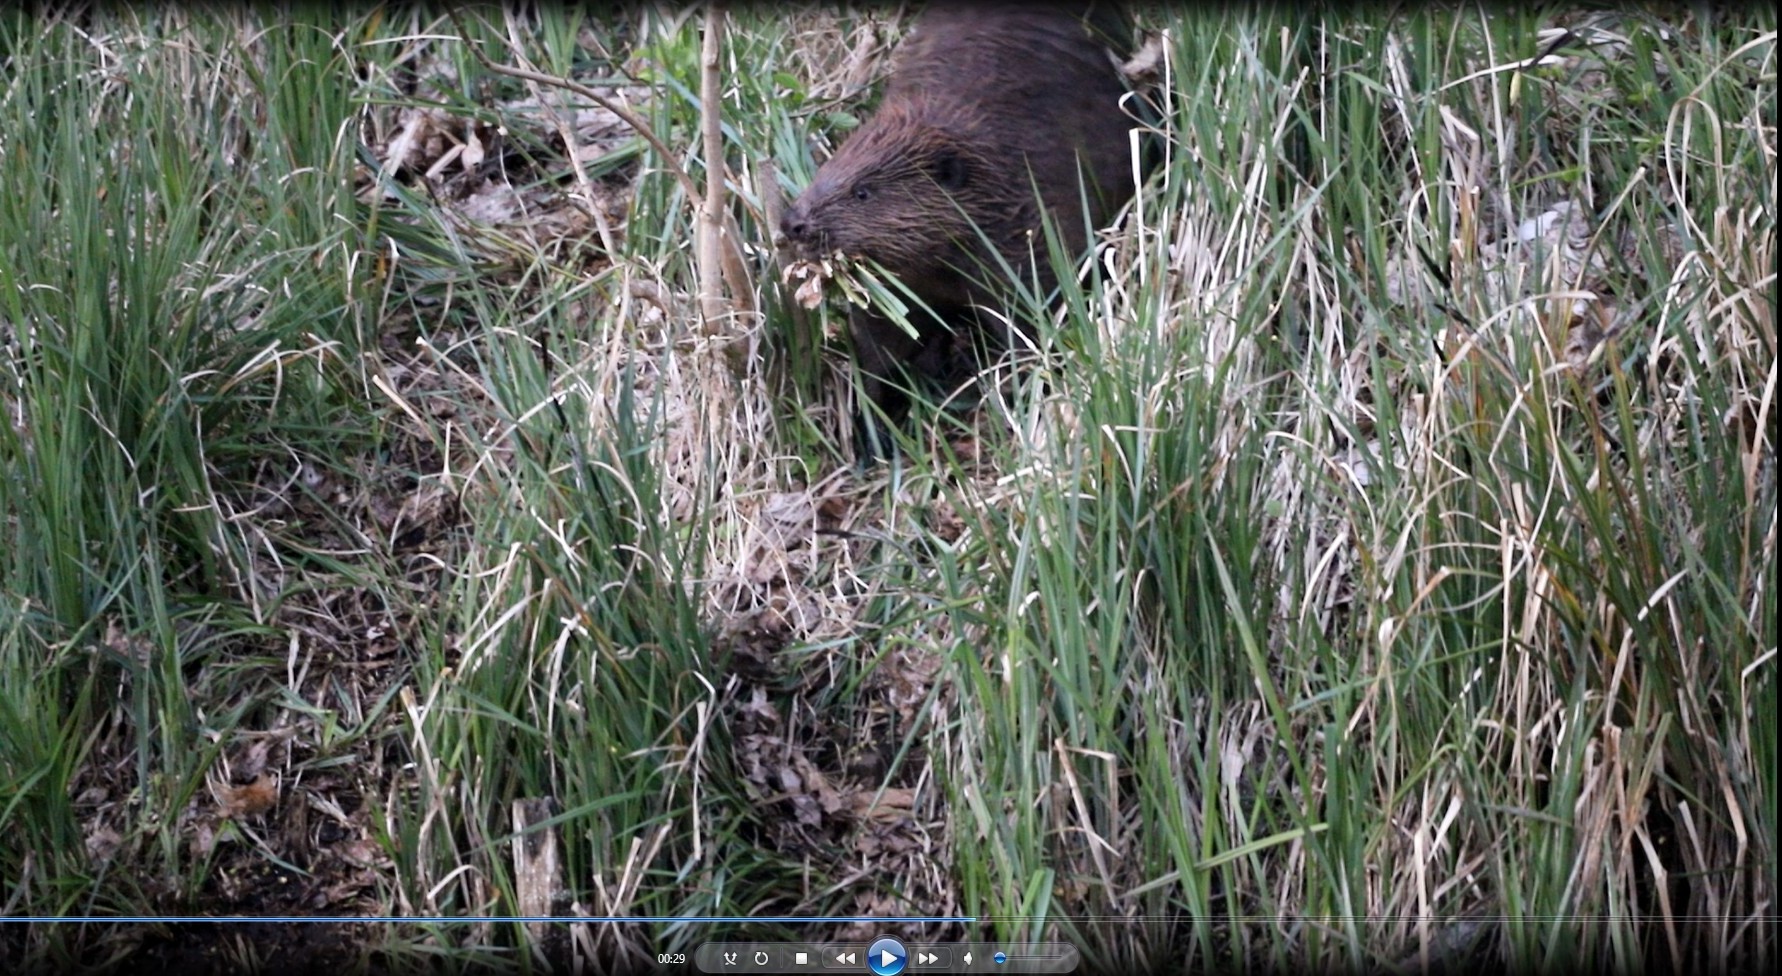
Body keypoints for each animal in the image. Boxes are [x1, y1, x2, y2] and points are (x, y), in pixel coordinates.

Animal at [780, 0, 1140, 441]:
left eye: (862, 192)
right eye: (823, 170)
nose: (793, 223)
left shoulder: (1030, 236)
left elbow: (1032, 323)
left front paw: (1016, 408)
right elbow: (880, 343)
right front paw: (875, 432)